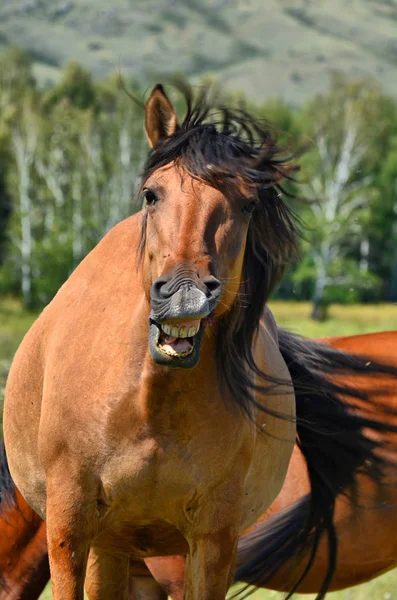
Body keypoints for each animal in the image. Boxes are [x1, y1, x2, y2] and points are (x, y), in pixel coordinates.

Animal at [3, 85, 396, 600]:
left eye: (248, 205)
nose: (184, 293)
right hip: (108, 545)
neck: (149, 407)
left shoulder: (211, 541)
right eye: (152, 194)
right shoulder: (71, 527)